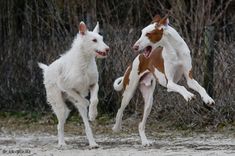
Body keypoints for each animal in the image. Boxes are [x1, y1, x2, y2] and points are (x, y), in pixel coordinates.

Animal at [113, 15, 214, 146]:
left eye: (148, 33)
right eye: (141, 32)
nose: (134, 47)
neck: (175, 50)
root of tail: (136, 60)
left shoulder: (190, 79)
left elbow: (200, 87)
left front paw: (207, 99)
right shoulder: (169, 83)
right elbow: (181, 87)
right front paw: (188, 95)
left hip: (149, 101)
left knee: (140, 124)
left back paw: (145, 142)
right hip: (129, 93)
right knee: (120, 110)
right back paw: (116, 127)